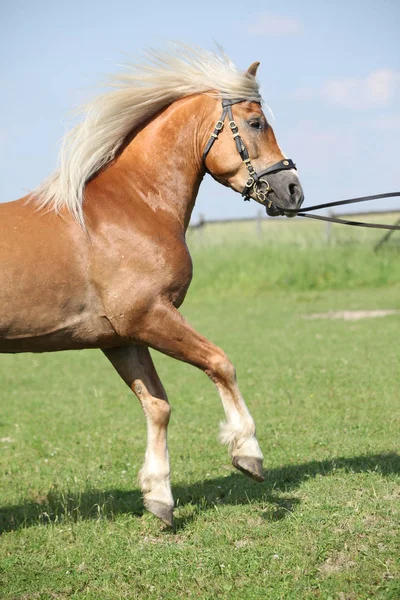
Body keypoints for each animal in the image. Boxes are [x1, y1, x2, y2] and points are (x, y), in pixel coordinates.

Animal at [0, 45, 304, 524]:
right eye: (257, 122)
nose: (293, 189)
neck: (134, 205)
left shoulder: (121, 336)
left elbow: (157, 405)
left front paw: (159, 495)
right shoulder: (149, 315)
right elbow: (220, 363)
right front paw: (248, 452)